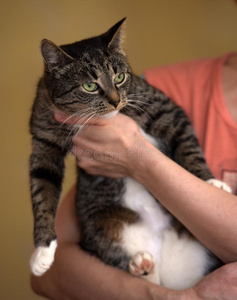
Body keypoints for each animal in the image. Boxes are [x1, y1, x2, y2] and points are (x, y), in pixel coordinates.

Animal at [28, 18, 231, 288]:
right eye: (90, 85)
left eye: (120, 77)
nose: (115, 101)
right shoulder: (43, 141)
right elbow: (42, 191)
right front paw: (43, 250)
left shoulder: (166, 109)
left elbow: (189, 148)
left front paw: (211, 182)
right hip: (103, 228)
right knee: (149, 282)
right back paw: (143, 267)